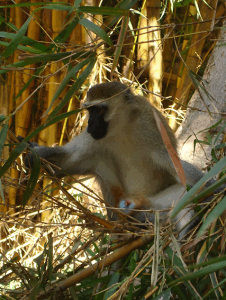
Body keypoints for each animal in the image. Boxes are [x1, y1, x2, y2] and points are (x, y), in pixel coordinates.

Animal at [22, 82, 215, 237]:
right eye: (89, 110)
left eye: (99, 110)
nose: (90, 123)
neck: (121, 127)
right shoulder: (93, 138)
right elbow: (66, 163)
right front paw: (36, 154)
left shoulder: (150, 127)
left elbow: (174, 165)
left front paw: (213, 187)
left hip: (154, 205)